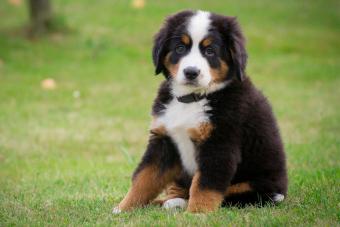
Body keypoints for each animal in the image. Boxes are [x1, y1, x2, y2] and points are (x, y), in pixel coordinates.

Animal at [113, 9, 286, 214]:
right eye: (180, 48)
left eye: (210, 51)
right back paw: (168, 202)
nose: (191, 72)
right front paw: (123, 208)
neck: (192, 99)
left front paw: (197, 213)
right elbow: (144, 178)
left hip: (256, 187)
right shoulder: (163, 140)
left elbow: (204, 185)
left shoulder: (219, 145)